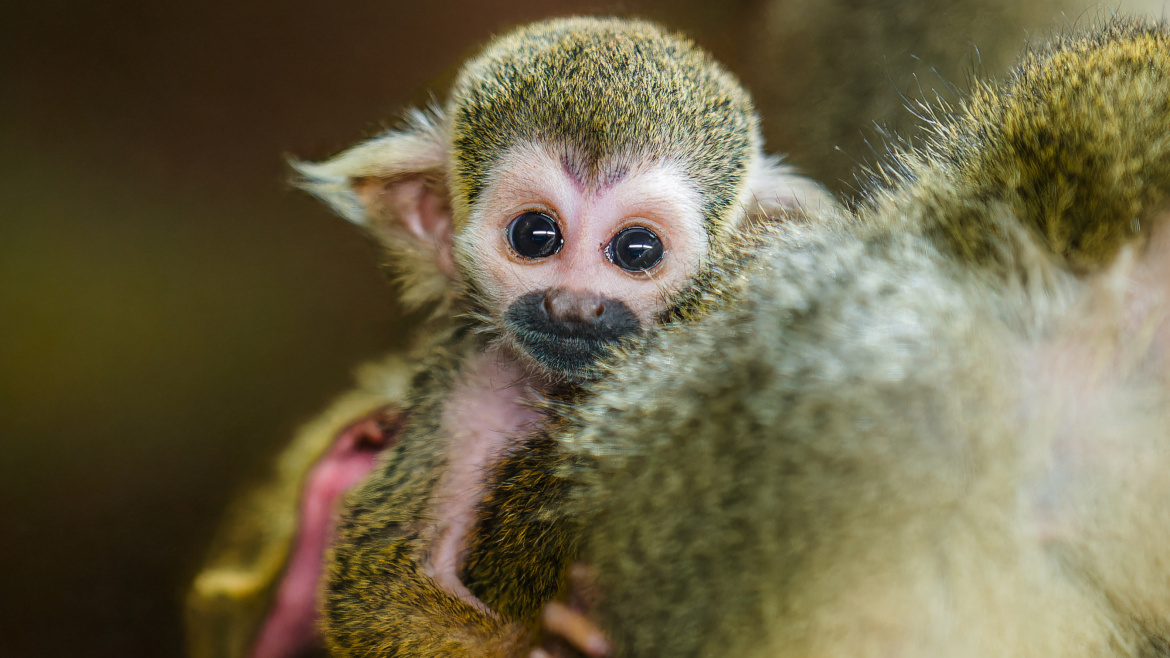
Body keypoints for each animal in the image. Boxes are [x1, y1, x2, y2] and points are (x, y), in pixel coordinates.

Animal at [187, 15, 823, 655]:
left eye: (637, 249)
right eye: (535, 234)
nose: (574, 306)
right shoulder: (466, 379)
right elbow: (379, 583)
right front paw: (544, 646)